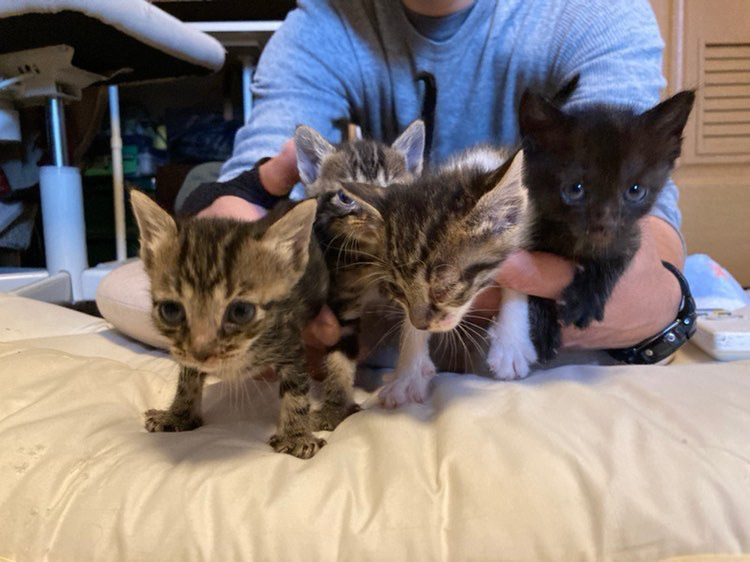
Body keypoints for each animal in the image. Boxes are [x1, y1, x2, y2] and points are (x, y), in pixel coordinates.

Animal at [130, 191, 351, 459]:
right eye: (171, 310)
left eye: (241, 311)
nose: (201, 353)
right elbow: (187, 379)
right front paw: (177, 416)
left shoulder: (291, 344)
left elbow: (296, 392)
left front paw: (297, 436)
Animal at [339, 147, 531, 406]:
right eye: (397, 290)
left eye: (444, 288)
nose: (420, 323)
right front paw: (408, 372)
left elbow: (520, 276)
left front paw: (511, 343)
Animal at [487, 87, 696, 379]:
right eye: (575, 189)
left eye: (635, 191)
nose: (602, 224)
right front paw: (543, 327)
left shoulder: (629, 235)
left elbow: (615, 255)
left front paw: (585, 299)